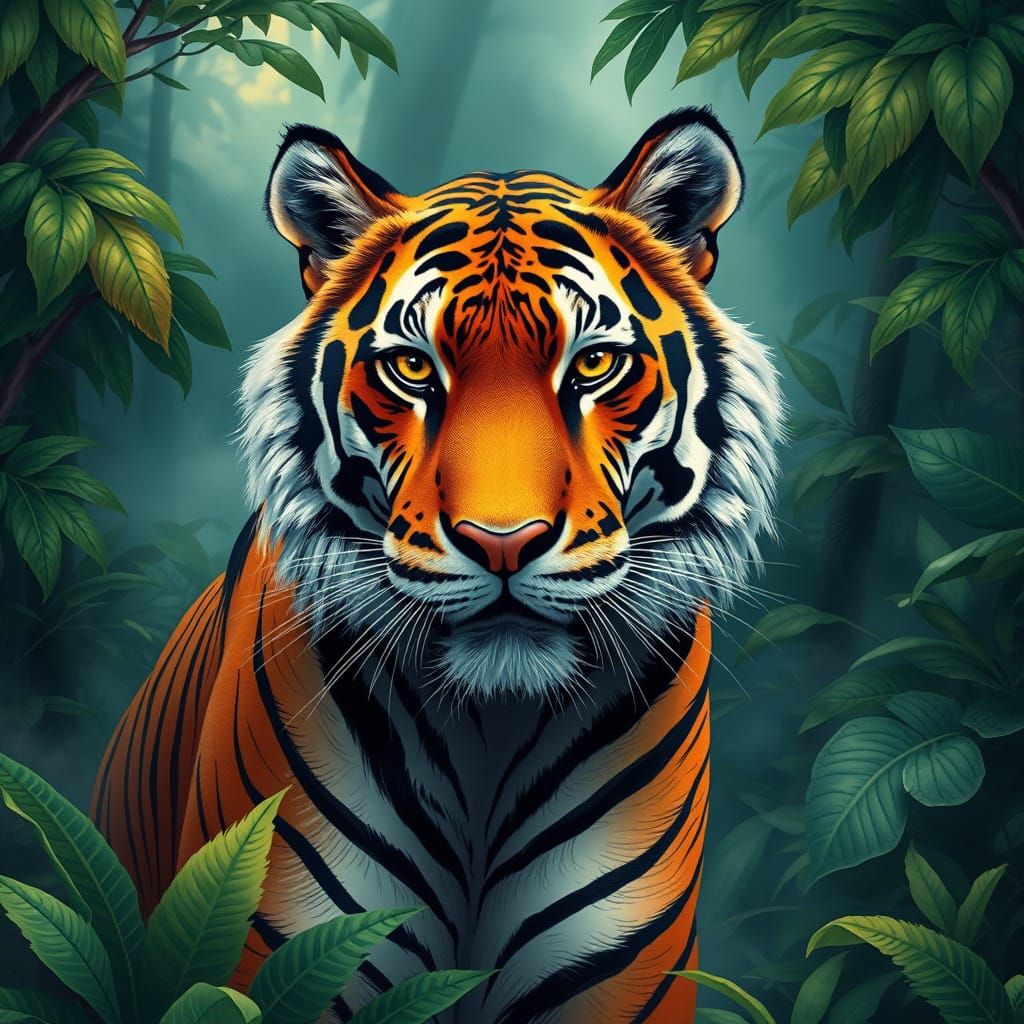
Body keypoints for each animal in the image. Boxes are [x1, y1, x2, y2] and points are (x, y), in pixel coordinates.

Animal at [93, 106, 782, 1023]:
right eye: (413, 367)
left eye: (594, 363)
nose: (503, 541)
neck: (493, 729)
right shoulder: (279, 950)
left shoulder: (622, 976)